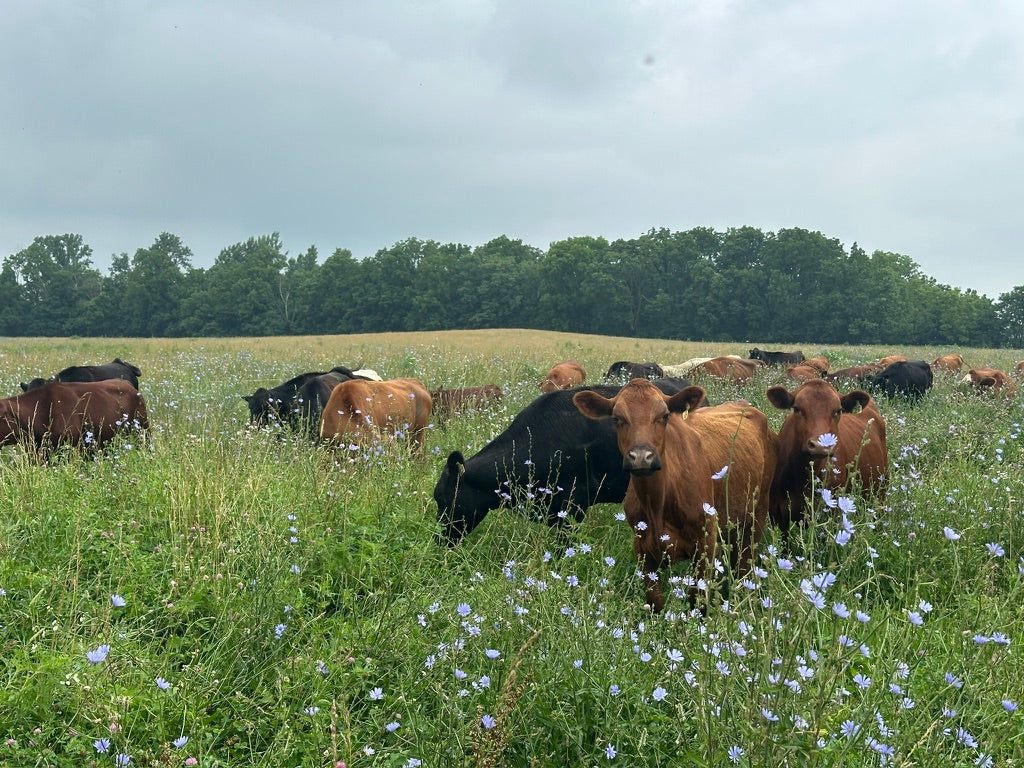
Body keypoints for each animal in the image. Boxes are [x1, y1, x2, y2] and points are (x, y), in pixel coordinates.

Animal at [573, 380, 776, 611]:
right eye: (617, 419)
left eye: (664, 416)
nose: (641, 457)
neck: (657, 505)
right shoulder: (642, 549)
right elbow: (655, 602)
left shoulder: (705, 541)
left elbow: (697, 601)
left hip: (758, 510)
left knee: (745, 563)